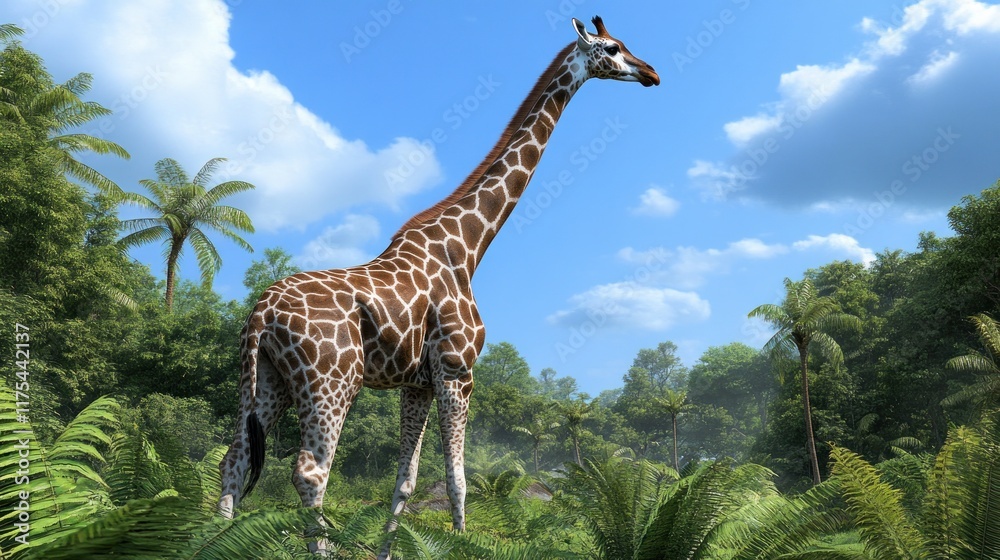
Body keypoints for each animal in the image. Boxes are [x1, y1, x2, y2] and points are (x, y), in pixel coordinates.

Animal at [218, 15, 659, 554]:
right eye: (613, 49)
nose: (651, 73)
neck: (467, 246)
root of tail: (261, 312)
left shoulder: (417, 382)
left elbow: (405, 481)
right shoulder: (457, 370)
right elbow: (458, 481)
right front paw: (462, 543)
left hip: (265, 380)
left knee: (233, 462)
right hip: (330, 382)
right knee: (310, 472)